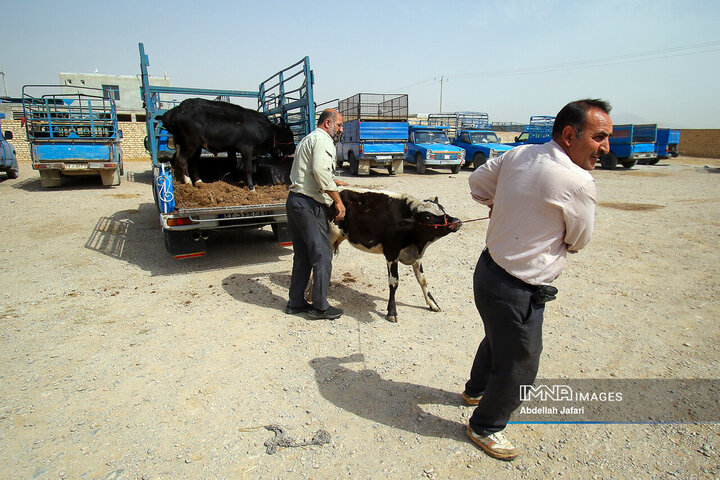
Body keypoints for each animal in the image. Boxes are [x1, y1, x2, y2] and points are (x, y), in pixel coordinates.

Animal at [162, 98, 296, 190]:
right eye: (288, 134)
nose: (294, 148)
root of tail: (175, 111)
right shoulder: (246, 149)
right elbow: (248, 168)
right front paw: (251, 188)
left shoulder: (246, 152)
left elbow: (245, 167)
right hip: (190, 144)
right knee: (182, 160)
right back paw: (188, 182)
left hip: (195, 146)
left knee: (192, 162)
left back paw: (199, 182)